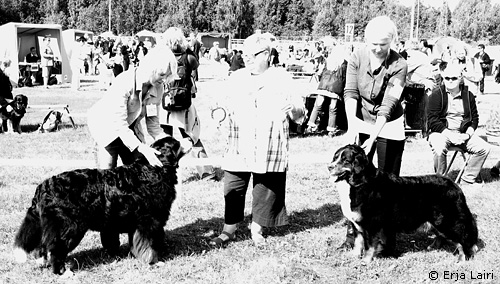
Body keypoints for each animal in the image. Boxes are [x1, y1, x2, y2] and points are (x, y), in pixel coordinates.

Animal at [13, 136, 186, 274]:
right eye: (176, 143)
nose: (189, 138)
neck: (154, 170)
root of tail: (44, 186)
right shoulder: (148, 220)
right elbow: (149, 245)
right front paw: (153, 262)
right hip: (69, 226)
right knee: (56, 248)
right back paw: (61, 272)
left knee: (43, 246)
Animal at [328, 145, 476, 262]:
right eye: (335, 157)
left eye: (345, 160)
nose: (329, 167)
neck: (362, 182)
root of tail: (455, 186)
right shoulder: (357, 224)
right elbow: (358, 243)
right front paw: (353, 256)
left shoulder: (371, 224)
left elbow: (368, 246)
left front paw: (365, 261)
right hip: (436, 220)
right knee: (442, 235)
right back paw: (433, 246)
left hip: (447, 221)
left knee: (462, 240)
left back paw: (462, 259)